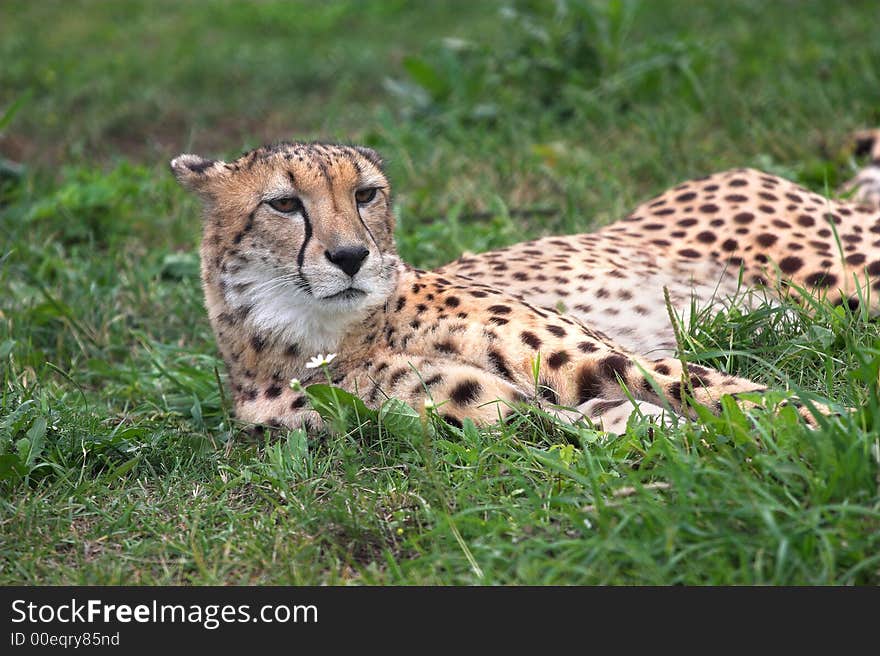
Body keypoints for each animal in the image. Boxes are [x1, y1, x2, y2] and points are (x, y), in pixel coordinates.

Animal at [170, 137, 880, 436]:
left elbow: (720, 390)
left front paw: (836, 429)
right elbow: (611, 420)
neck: (317, 331)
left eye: (366, 194)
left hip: (844, 278)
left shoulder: (595, 356)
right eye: (286, 204)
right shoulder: (479, 409)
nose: (350, 257)